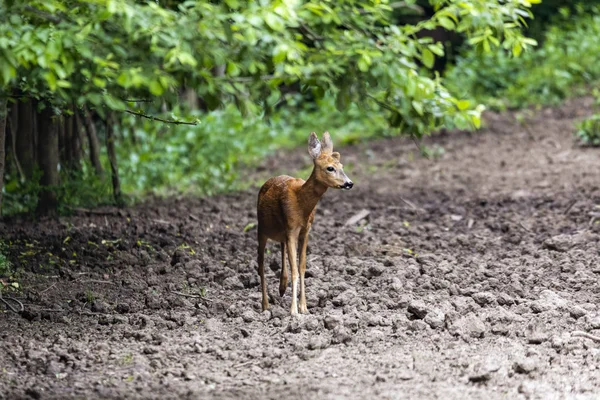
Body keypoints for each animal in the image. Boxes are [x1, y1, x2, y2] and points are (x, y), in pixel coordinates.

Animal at [256, 133, 352, 314]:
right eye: (330, 168)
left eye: (342, 165)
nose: (349, 183)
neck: (301, 204)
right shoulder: (292, 228)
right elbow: (294, 268)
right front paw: (294, 310)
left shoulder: (305, 230)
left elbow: (301, 266)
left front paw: (304, 307)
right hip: (261, 229)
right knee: (261, 263)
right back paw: (265, 305)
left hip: (282, 231)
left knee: (281, 248)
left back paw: (282, 286)